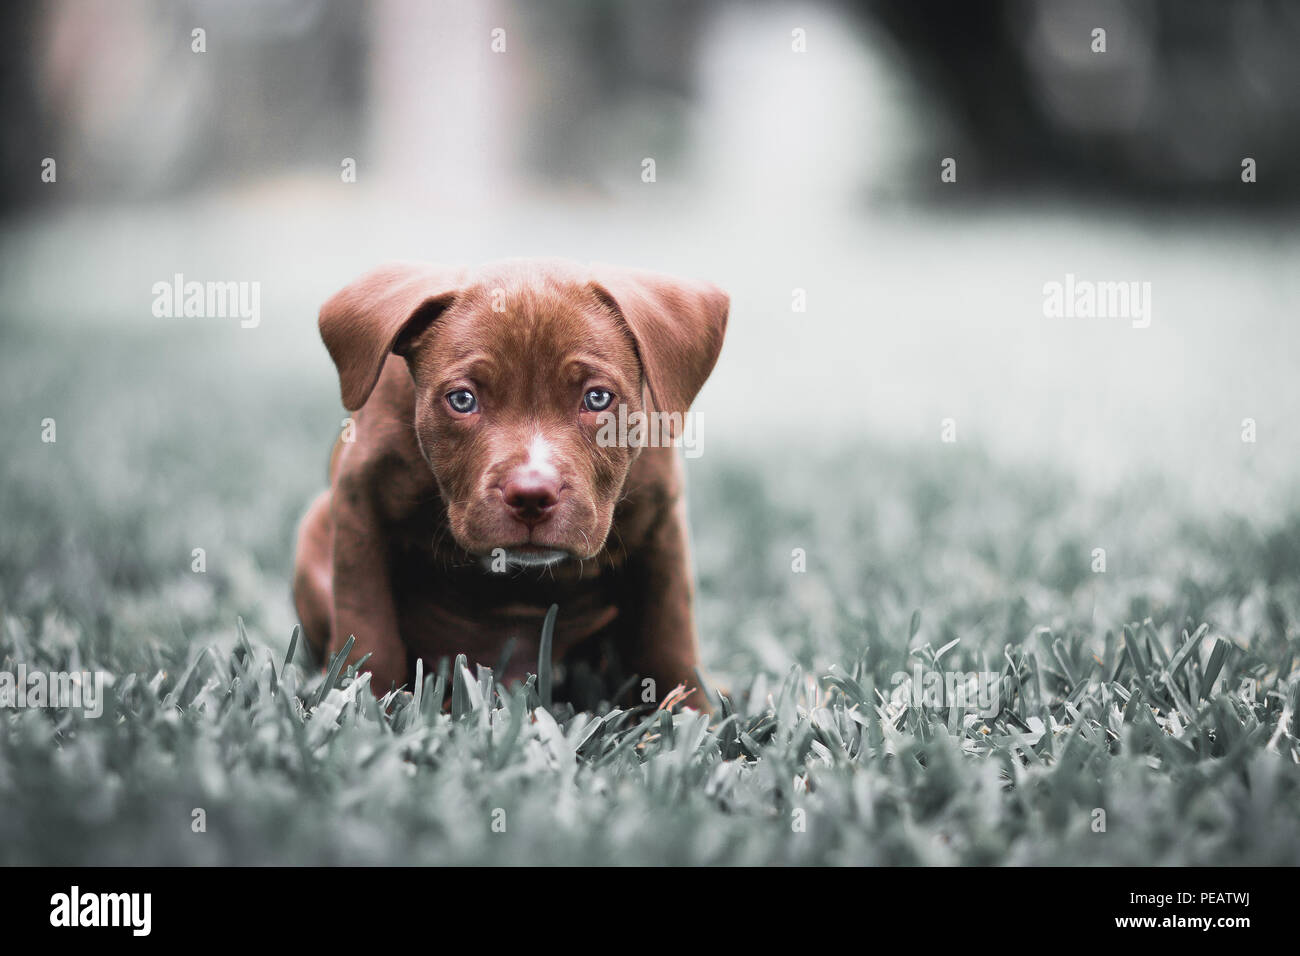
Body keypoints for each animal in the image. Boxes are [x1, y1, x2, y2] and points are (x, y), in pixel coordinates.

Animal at [289, 260, 728, 712]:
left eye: (598, 398)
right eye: (462, 399)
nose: (532, 495)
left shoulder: (662, 525)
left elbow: (668, 632)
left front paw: (691, 711)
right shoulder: (361, 505)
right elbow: (366, 620)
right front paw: (361, 702)